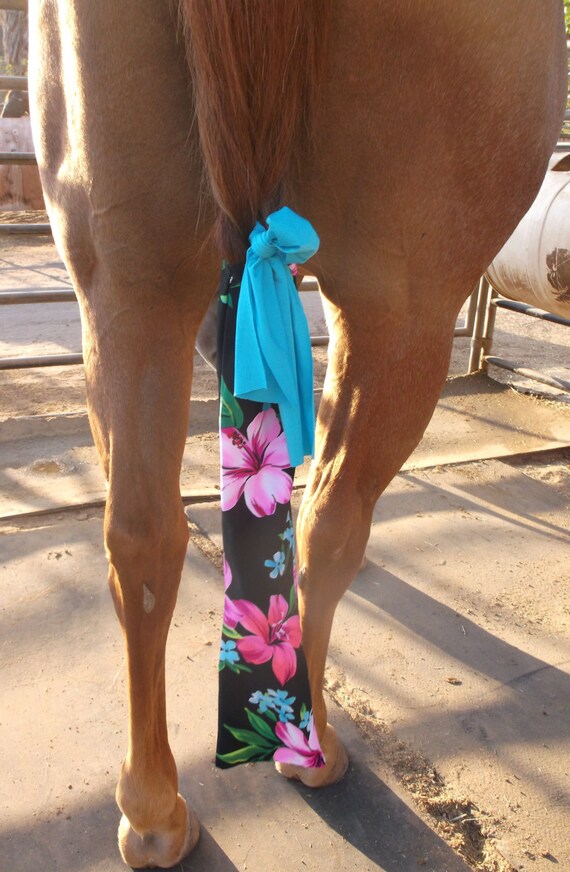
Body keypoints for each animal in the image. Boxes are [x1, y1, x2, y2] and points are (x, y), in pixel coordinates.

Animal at [28, 1, 566, 867]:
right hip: (404, 310)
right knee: (329, 523)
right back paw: (309, 748)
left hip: (126, 272)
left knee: (141, 536)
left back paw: (151, 811)